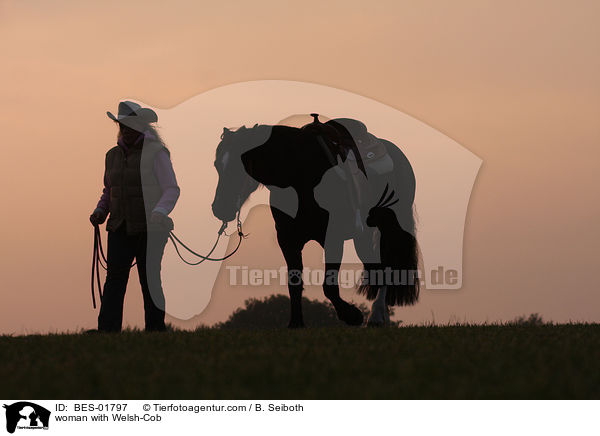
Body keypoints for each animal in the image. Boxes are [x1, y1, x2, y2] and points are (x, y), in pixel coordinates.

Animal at [213, 116, 420, 328]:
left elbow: (329, 286)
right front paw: (296, 323)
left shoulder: (333, 238)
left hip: (390, 226)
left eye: (241, 165)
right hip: (363, 235)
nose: (220, 208)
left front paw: (351, 315)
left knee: (386, 267)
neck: (300, 176)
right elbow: (294, 283)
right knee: (375, 266)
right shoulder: (287, 240)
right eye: (217, 165)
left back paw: (377, 315)